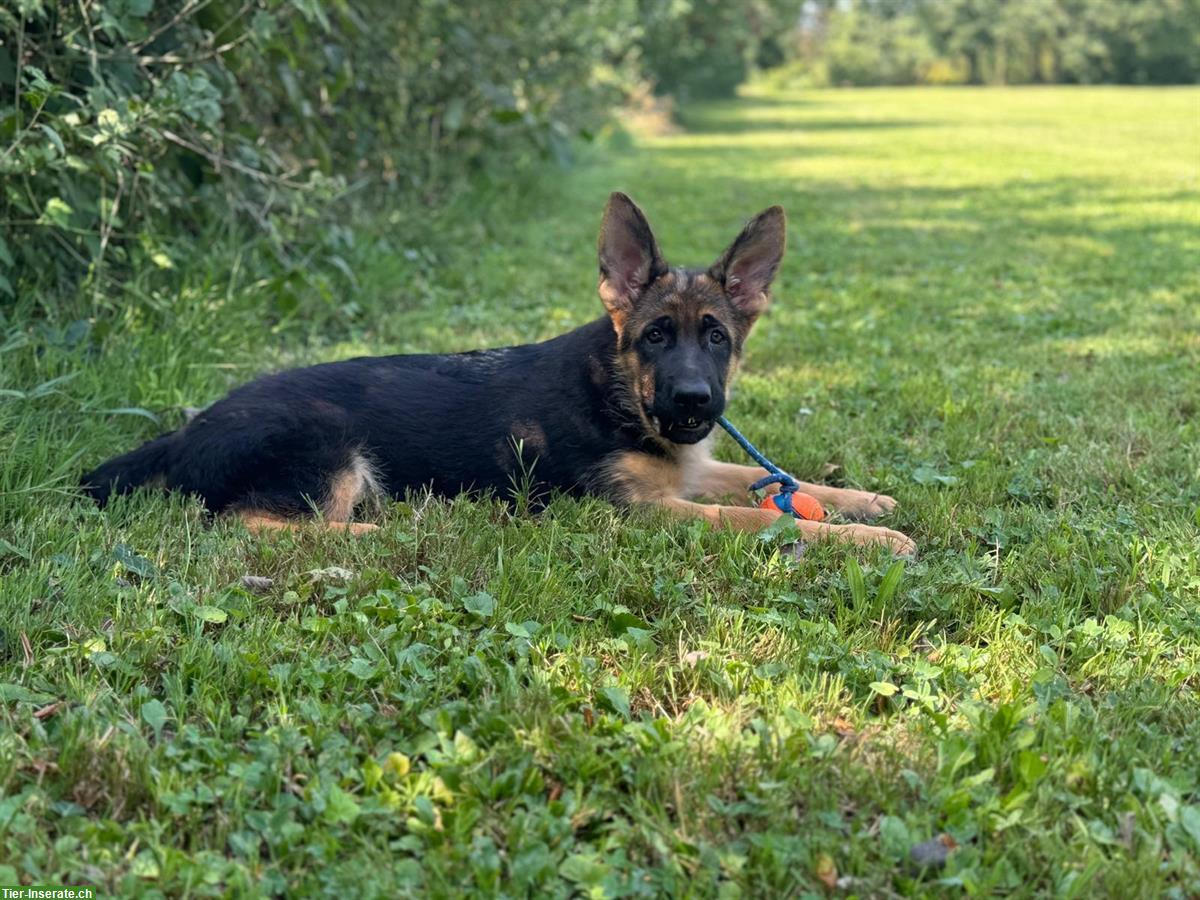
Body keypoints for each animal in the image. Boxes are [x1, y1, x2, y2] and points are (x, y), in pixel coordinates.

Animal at [79, 194, 912, 554]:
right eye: (653, 336)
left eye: (716, 336)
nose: (694, 401)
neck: (616, 390)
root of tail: (184, 432)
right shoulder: (641, 510)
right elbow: (755, 516)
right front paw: (877, 539)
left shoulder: (684, 470)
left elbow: (762, 479)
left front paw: (864, 501)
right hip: (330, 447)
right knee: (251, 524)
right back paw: (389, 531)